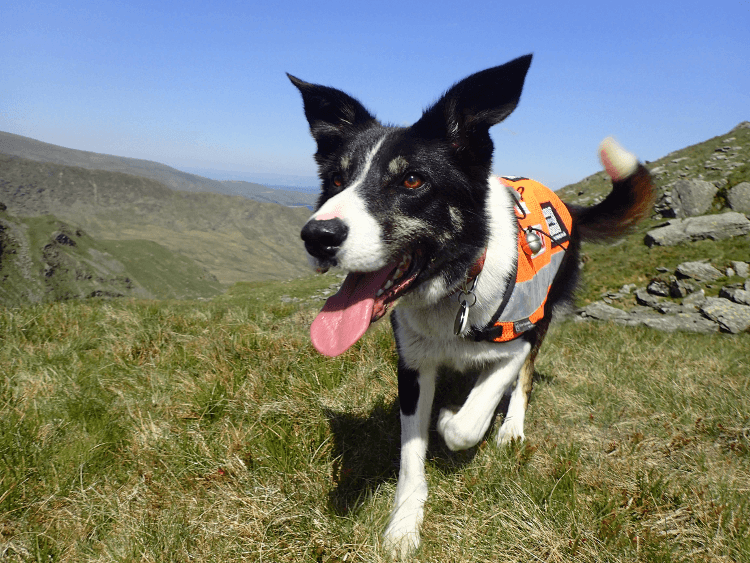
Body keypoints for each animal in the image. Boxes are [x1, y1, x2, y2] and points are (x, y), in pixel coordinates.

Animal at [290, 55, 656, 556]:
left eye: (412, 179)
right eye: (337, 180)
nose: (317, 237)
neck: (457, 282)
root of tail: (569, 207)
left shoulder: (516, 341)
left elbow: (468, 419)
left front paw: (454, 418)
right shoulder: (412, 364)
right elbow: (411, 455)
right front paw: (404, 526)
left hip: (544, 315)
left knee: (522, 383)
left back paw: (510, 428)